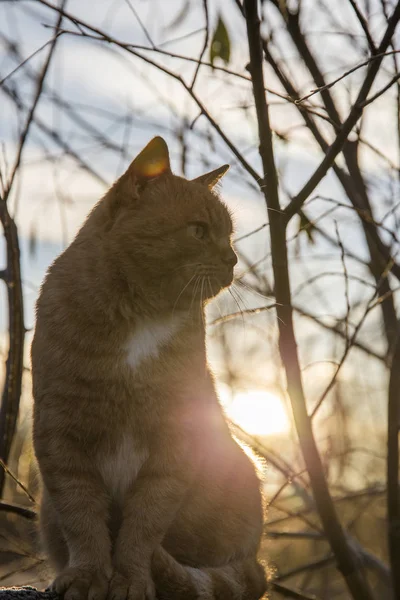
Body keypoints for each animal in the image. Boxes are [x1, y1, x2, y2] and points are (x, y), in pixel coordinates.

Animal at [31, 137, 266, 600]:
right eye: (198, 230)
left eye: (229, 234)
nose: (233, 259)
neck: (141, 319)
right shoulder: (60, 432)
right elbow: (81, 514)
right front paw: (87, 575)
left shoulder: (176, 439)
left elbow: (145, 520)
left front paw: (131, 579)